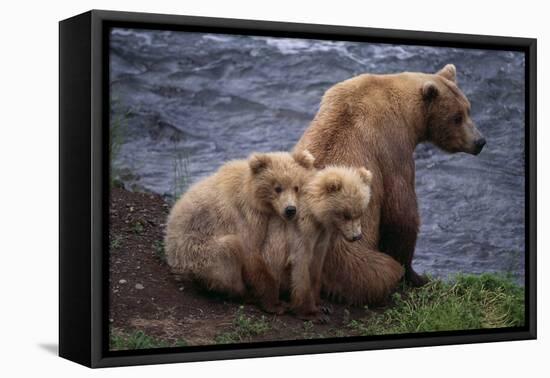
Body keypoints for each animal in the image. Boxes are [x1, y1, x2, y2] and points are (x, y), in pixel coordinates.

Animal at [165, 150, 314, 314]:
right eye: (277, 188)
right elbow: (250, 253)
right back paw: (244, 294)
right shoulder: (246, 216)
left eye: (296, 187)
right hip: (196, 250)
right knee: (229, 252)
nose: (290, 210)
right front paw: (275, 304)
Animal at [286, 167, 374, 318]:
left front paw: (322, 304)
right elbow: (300, 262)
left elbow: (316, 264)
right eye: (346, 215)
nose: (357, 236)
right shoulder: (302, 231)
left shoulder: (322, 235)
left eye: (360, 212)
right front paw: (310, 312)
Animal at [296, 62, 490, 304]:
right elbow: (401, 212)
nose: (480, 142)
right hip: (350, 259)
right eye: (456, 117)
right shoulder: (392, 148)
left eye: (468, 109)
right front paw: (417, 276)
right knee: (380, 270)